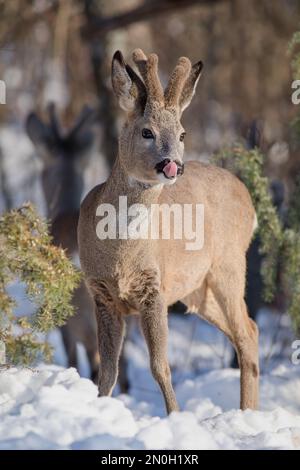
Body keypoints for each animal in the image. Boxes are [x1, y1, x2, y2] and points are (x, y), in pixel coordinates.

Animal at [78, 49, 258, 414]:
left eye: (182, 134)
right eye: (147, 132)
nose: (173, 165)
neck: (120, 254)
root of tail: (247, 197)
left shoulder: (154, 287)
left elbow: (159, 366)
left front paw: (175, 415)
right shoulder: (100, 293)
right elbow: (108, 370)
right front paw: (101, 408)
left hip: (230, 265)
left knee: (246, 336)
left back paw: (247, 411)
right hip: (197, 289)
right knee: (252, 329)